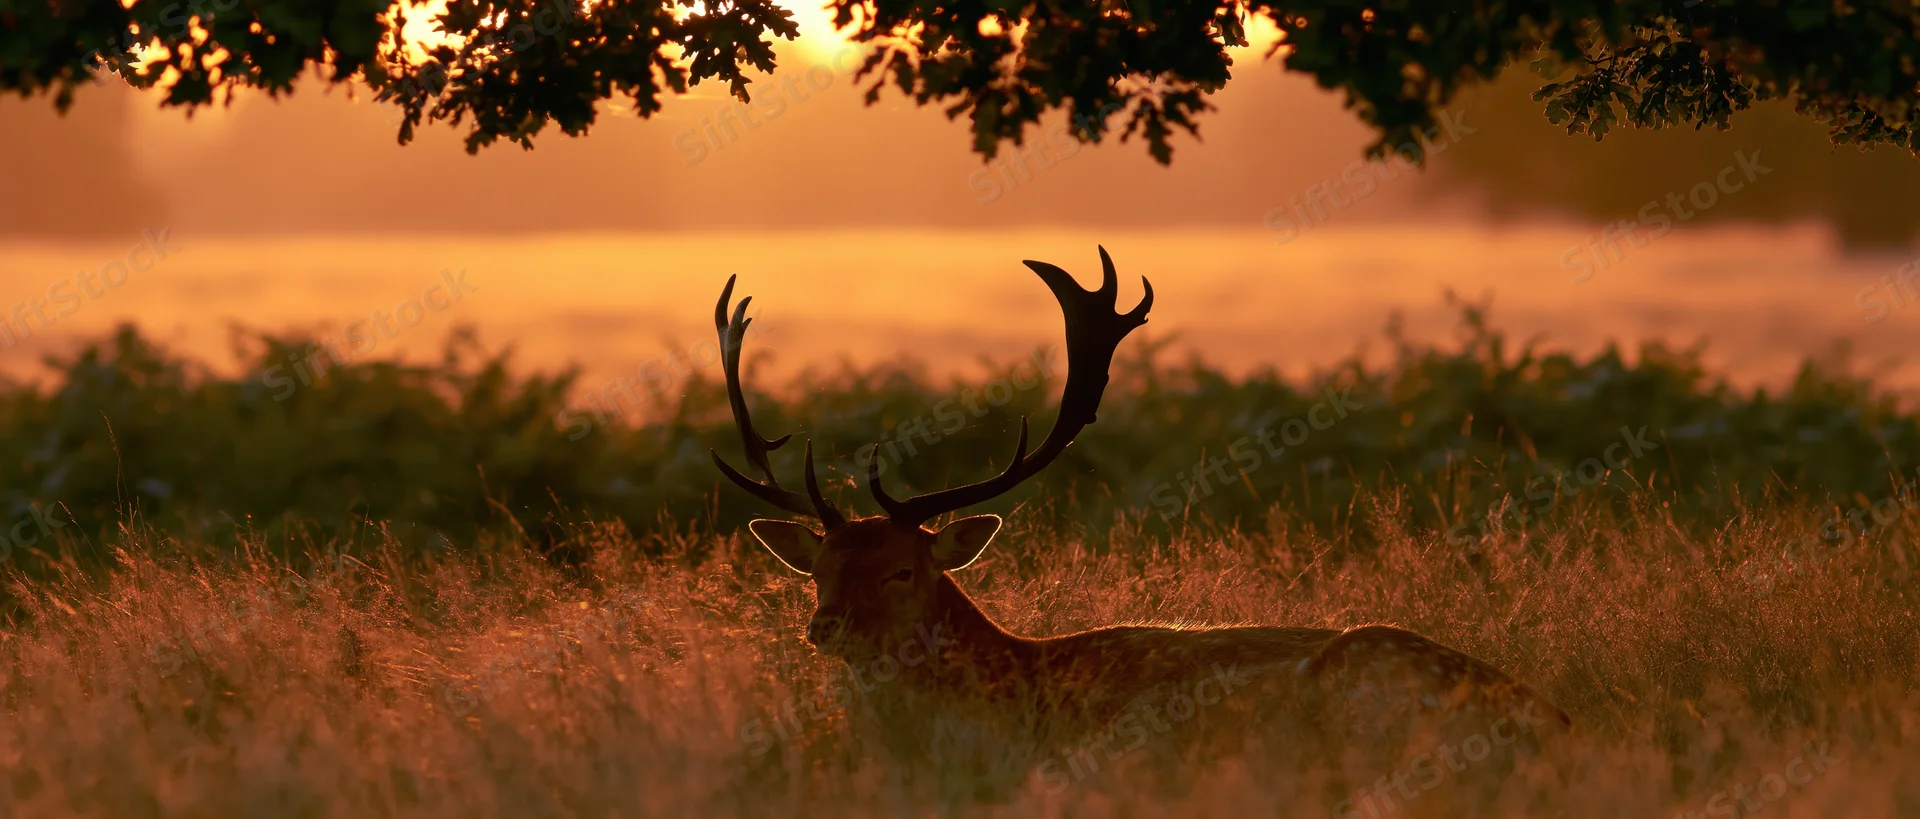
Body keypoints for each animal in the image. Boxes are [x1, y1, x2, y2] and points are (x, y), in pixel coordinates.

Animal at [709, 250, 1571, 803]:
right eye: (818, 566)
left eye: (901, 569)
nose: (825, 627)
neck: (1012, 696)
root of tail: (1557, 720)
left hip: (1364, 685)